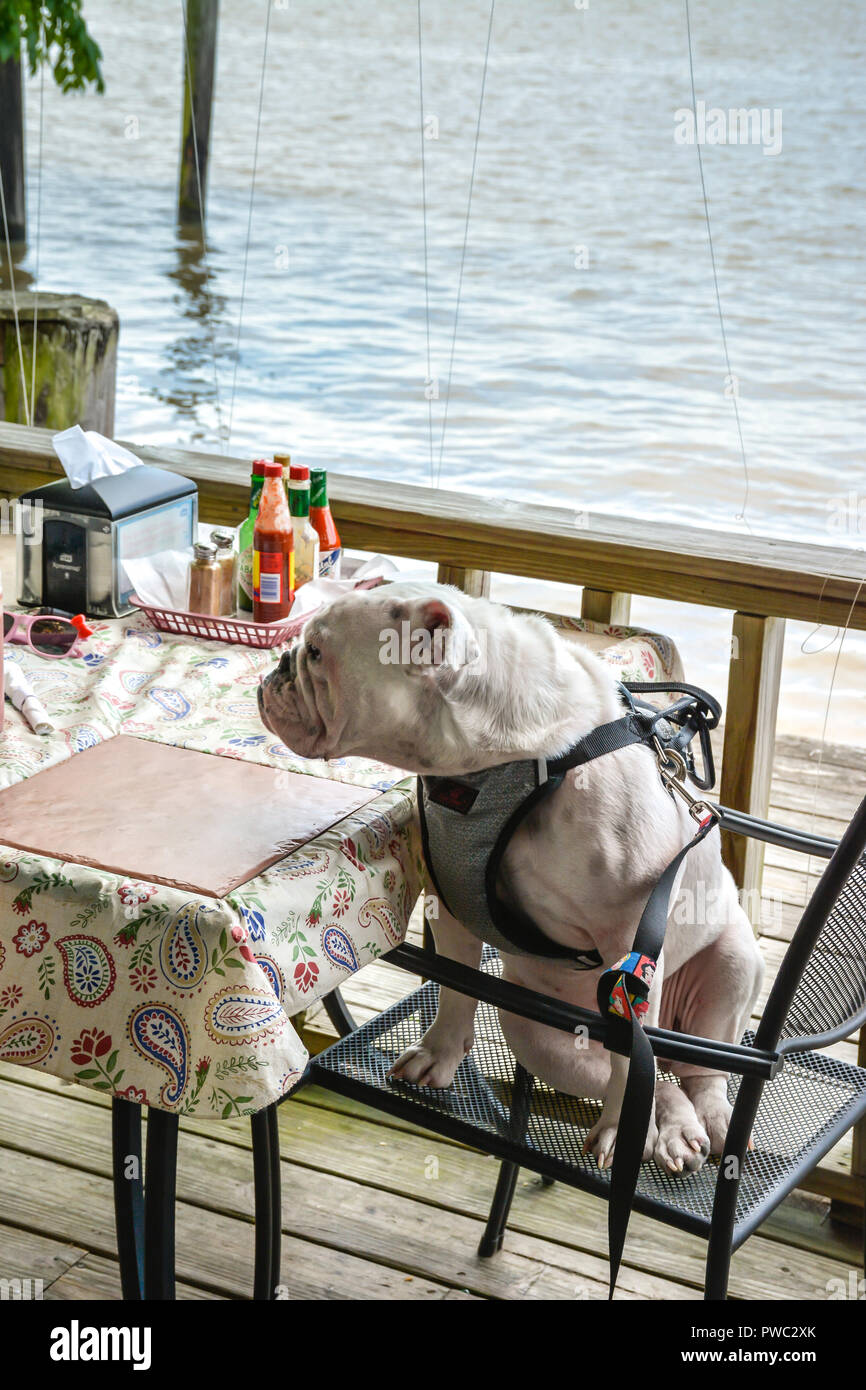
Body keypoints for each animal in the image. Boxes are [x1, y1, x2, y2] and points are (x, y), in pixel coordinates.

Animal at [261, 581, 761, 1167]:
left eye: (317, 653)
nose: (279, 663)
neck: (502, 759)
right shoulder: (450, 898)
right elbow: (457, 987)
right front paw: (438, 1055)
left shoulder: (630, 948)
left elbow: (625, 1064)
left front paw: (618, 1128)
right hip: (533, 1034)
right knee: (658, 1080)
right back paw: (674, 1126)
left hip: (731, 964)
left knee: (695, 1071)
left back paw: (707, 1120)